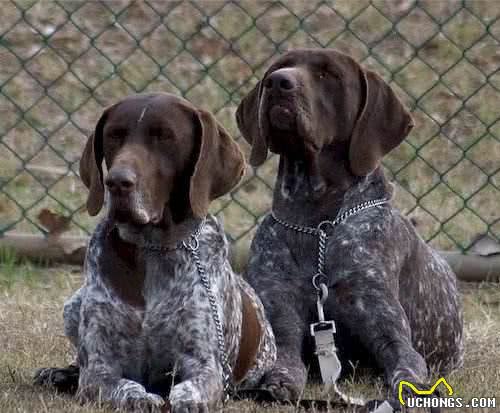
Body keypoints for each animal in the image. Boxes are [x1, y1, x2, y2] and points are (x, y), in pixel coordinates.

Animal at [34, 91, 278, 410]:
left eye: (164, 136)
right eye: (114, 135)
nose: (117, 182)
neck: (153, 246)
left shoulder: (205, 366)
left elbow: (190, 392)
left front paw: (183, 401)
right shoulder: (100, 367)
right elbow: (123, 387)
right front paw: (141, 398)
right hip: (72, 306)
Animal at [236, 49, 462, 406]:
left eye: (329, 75)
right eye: (277, 68)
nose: (278, 82)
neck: (316, 224)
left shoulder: (389, 332)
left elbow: (406, 370)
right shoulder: (281, 323)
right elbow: (285, 362)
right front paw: (279, 382)